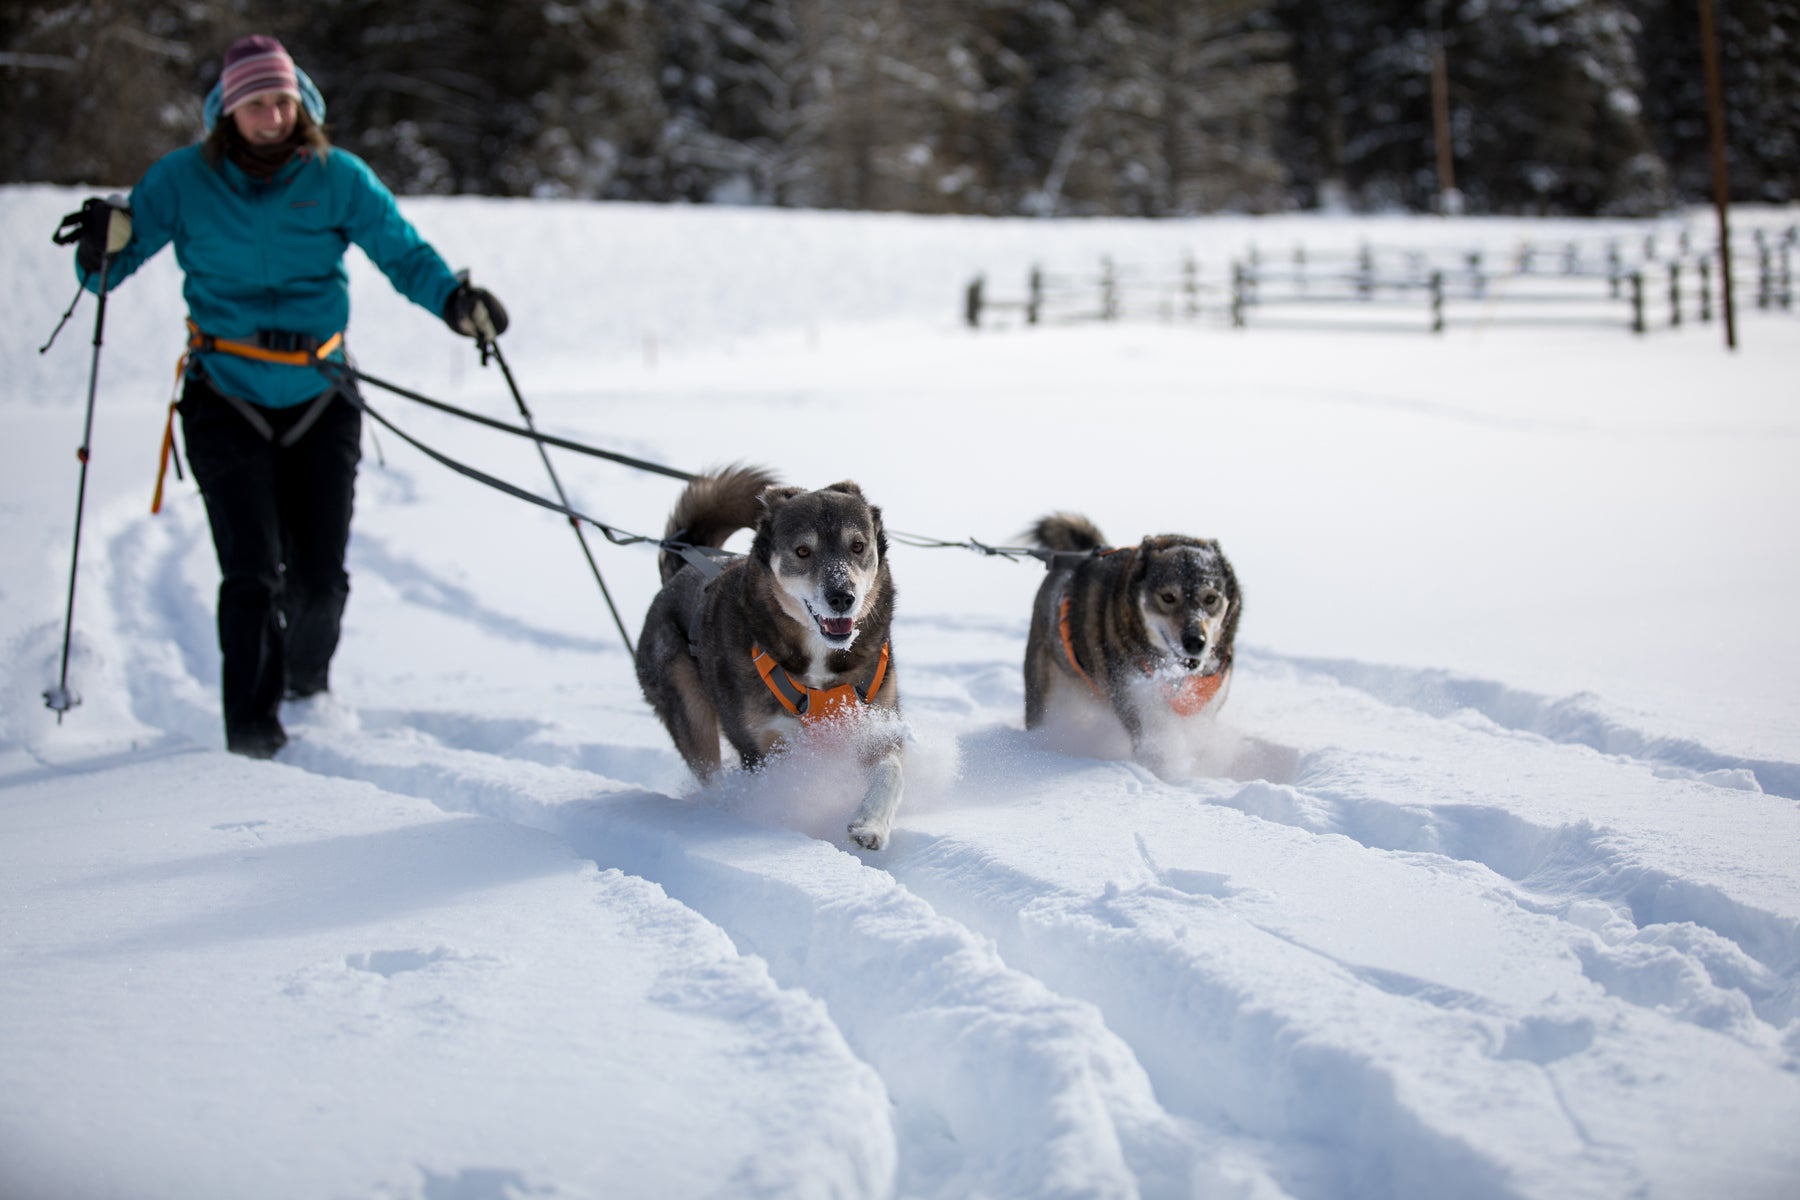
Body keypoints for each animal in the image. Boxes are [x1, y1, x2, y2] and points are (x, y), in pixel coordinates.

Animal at [640, 464, 907, 849]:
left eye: (858, 546)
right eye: (802, 551)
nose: (843, 596)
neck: (820, 661)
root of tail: (678, 571)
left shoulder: (876, 721)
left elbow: (891, 769)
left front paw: (871, 823)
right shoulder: (761, 747)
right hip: (689, 708)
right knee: (710, 772)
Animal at [1029, 510, 1238, 766]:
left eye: (1210, 598)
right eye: (1168, 597)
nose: (1195, 642)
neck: (1175, 676)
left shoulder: (1203, 712)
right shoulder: (1137, 703)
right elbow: (1155, 748)